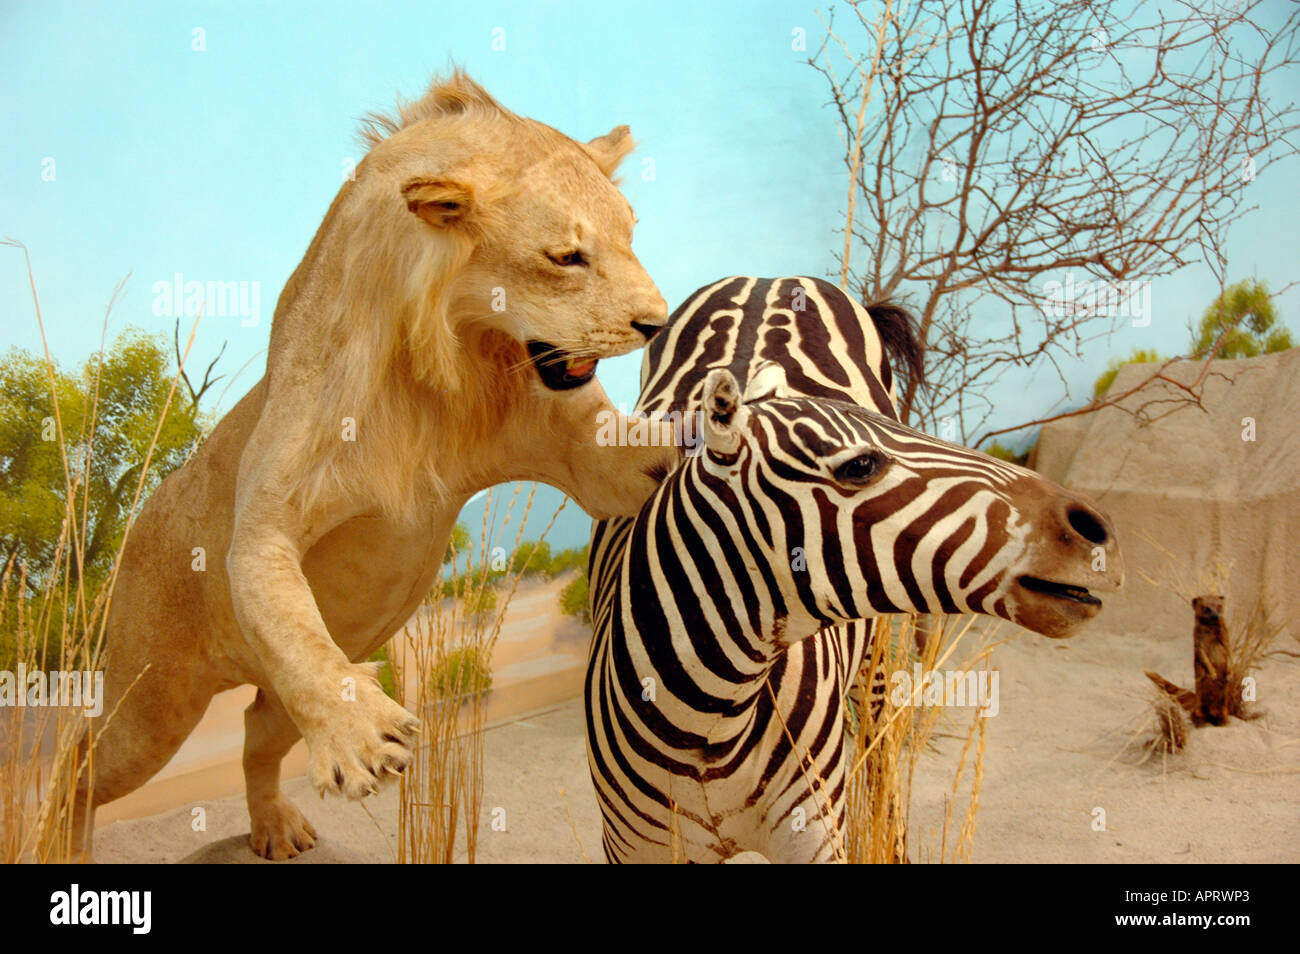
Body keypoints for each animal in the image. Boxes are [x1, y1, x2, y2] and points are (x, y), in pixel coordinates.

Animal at [69, 72, 677, 860]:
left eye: (631, 236)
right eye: (567, 256)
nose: (656, 322)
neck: (445, 374)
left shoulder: (593, 463)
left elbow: (650, 456)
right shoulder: (264, 520)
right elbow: (286, 618)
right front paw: (363, 737)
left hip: (267, 699)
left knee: (253, 733)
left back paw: (276, 826)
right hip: (152, 701)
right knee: (83, 758)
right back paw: (59, 836)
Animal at [584, 277, 1123, 863]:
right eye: (861, 466)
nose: (1099, 531)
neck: (708, 726)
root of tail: (767, 277)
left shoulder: (815, 832)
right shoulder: (632, 847)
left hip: (874, 660)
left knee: (881, 752)